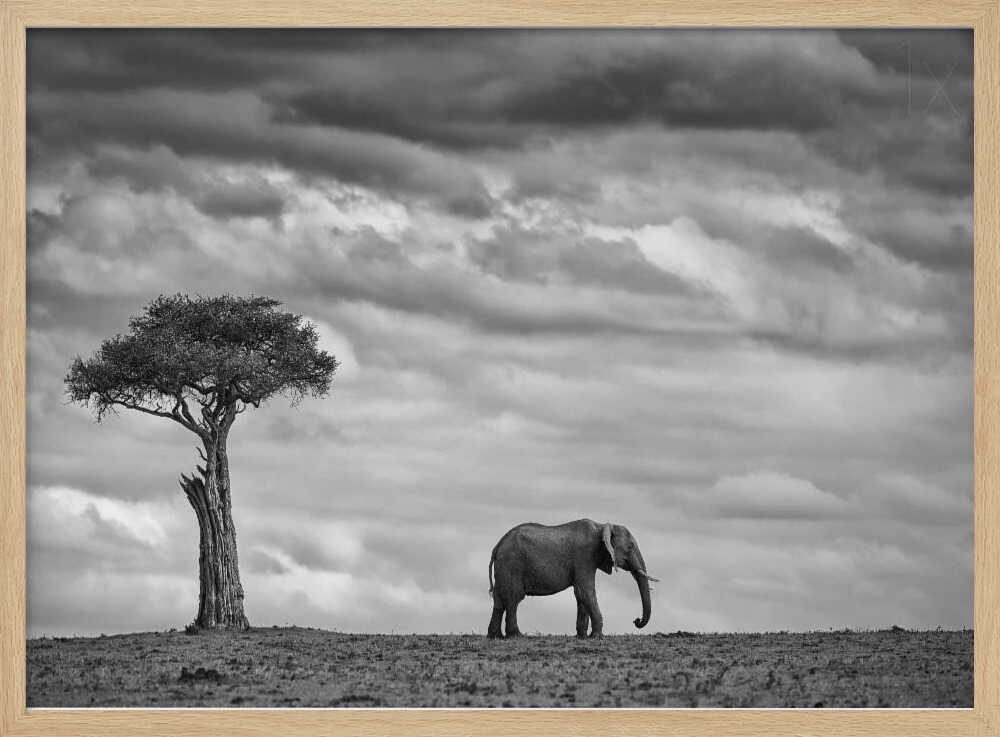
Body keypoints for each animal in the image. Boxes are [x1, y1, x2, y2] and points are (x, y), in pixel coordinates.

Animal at [487, 519, 657, 638]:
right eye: (630, 547)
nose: (636, 621)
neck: (602, 526)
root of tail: (497, 547)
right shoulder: (584, 556)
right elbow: (585, 591)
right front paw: (597, 637)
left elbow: (581, 595)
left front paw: (582, 636)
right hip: (512, 564)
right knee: (513, 599)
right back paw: (516, 635)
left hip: (504, 568)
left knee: (499, 600)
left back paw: (495, 636)